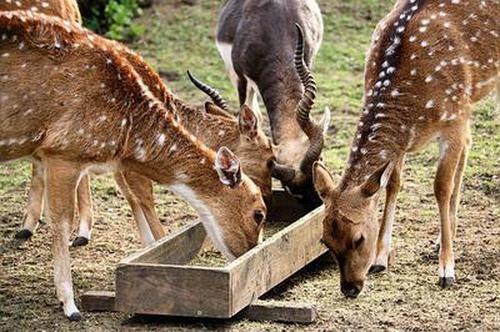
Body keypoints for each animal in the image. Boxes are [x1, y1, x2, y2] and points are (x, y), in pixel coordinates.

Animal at [0, 11, 268, 320]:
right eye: (258, 213)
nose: (251, 254)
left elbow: (133, 199)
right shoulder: (62, 151)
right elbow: (67, 218)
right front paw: (70, 305)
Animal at [312, 0, 496, 298]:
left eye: (359, 238)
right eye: (325, 240)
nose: (350, 288)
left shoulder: (453, 119)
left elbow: (441, 187)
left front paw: (447, 270)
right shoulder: (405, 142)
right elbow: (392, 184)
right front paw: (380, 258)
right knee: (469, 143)